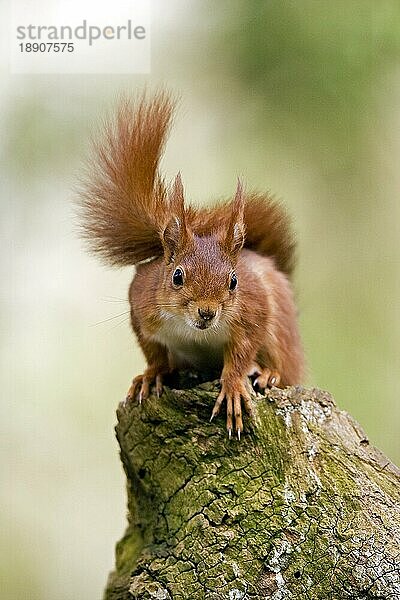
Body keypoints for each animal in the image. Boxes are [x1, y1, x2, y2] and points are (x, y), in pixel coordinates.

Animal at [77, 91, 304, 438]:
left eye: (234, 281)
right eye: (177, 276)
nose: (207, 312)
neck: (193, 330)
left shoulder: (254, 310)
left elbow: (241, 352)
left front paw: (233, 384)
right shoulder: (141, 306)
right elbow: (153, 350)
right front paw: (152, 374)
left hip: (281, 329)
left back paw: (268, 373)